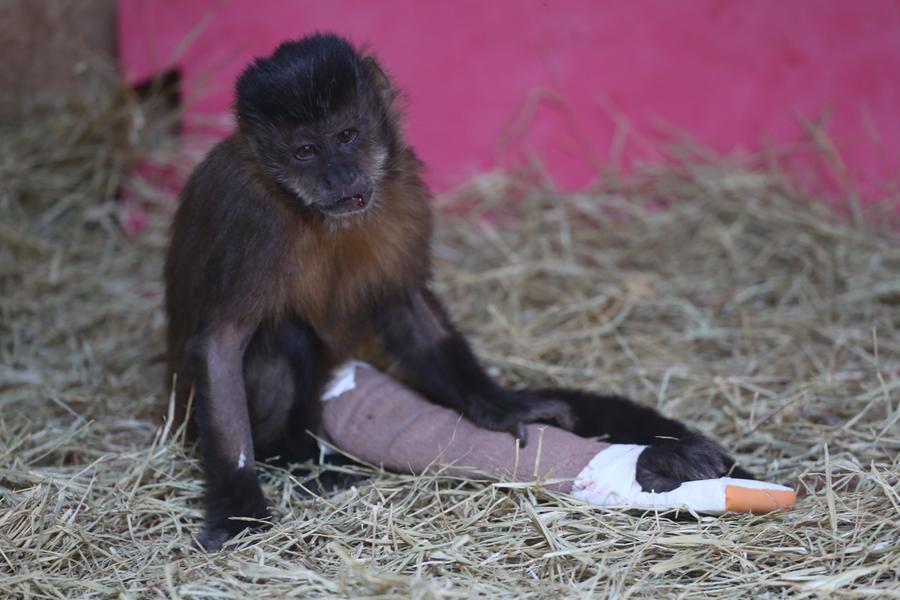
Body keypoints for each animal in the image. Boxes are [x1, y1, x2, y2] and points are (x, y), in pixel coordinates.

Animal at [163, 34, 752, 552]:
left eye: (347, 136)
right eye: (305, 151)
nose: (338, 174)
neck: (311, 214)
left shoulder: (401, 189)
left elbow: (407, 308)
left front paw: (498, 405)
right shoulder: (250, 216)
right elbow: (221, 346)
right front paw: (237, 504)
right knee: (279, 335)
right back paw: (296, 458)